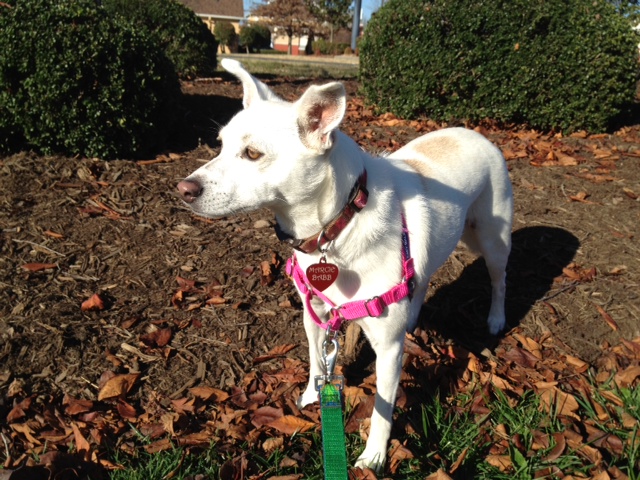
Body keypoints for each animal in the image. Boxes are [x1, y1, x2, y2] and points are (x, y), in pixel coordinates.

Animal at [177, 59, 514, 470]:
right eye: (221, 145)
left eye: (252, 154)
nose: (184, 189)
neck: (337, 225)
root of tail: (475, 133)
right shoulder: (316, 314)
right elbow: (317, 361)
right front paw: (312, 396)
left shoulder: (387, 348)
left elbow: (382, 408)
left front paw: (375, 456)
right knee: (421, 279)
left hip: (492, 240)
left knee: (499, 279)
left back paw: (495, 319)